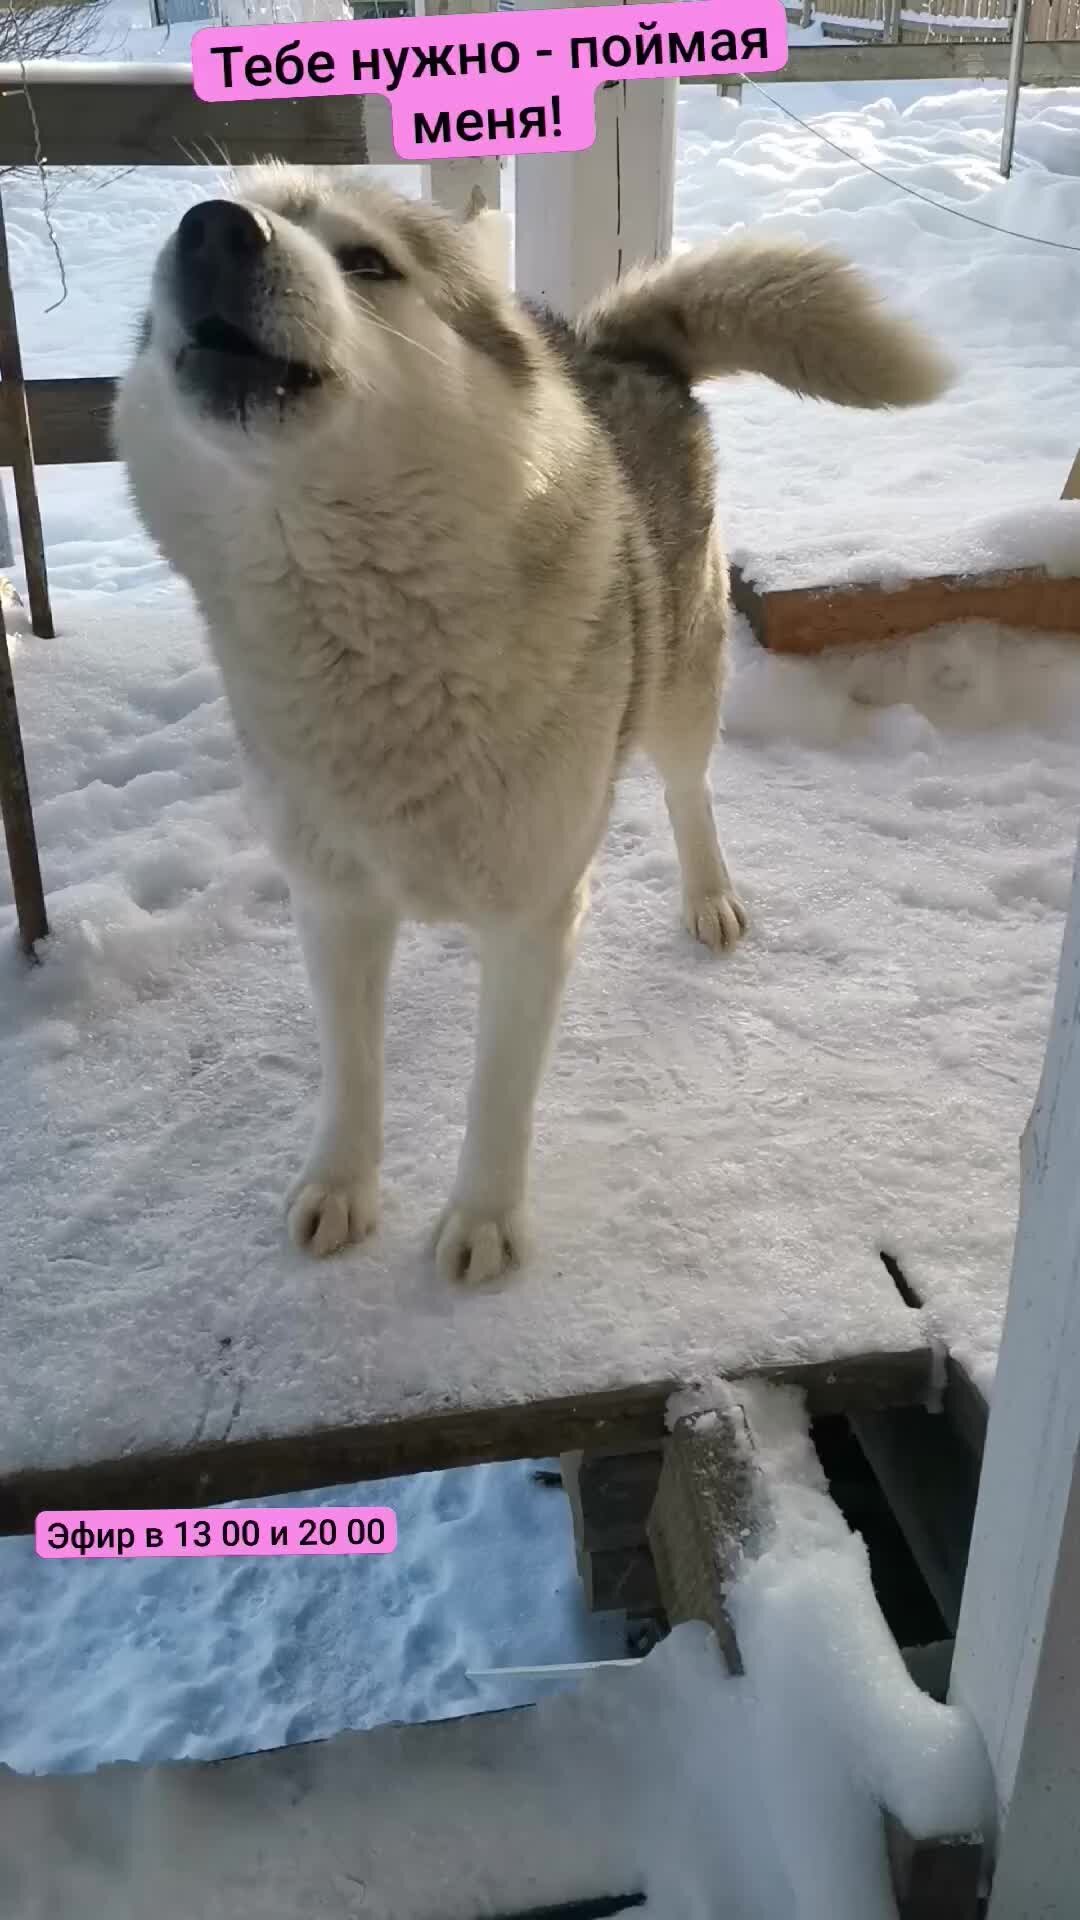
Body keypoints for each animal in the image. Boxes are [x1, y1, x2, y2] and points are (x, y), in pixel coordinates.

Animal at [113, 161, 945, 1274]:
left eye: (367, 262)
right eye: (183, 236)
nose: (211, 231)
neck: (371, 634)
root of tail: (607, 344)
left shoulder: (537, 915)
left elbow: (498, 1089)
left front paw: (482, 1221)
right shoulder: (332, 904)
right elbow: (352, 1070)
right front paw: (340, 1185)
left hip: (681, 688)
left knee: (689, 790)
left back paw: (710, 896)